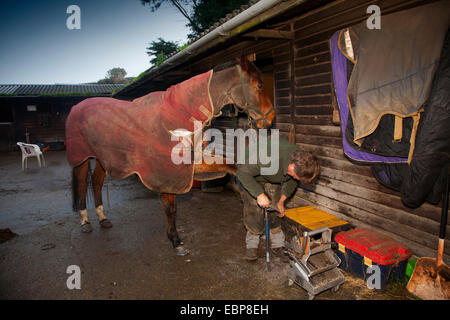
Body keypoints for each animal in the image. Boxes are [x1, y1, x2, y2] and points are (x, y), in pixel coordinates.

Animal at [65, 55, 276, 255]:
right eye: (259, 85)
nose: (271, 118)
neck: (183, 115)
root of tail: (76, 107)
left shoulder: (192, 166)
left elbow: (232, 164)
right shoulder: (169, 174)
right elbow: (171, 209)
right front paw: (176, 241)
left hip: (102, 158)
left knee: (97, 182)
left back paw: (103, 218)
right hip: (82, 158)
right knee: (83, 183)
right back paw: (85, 221)